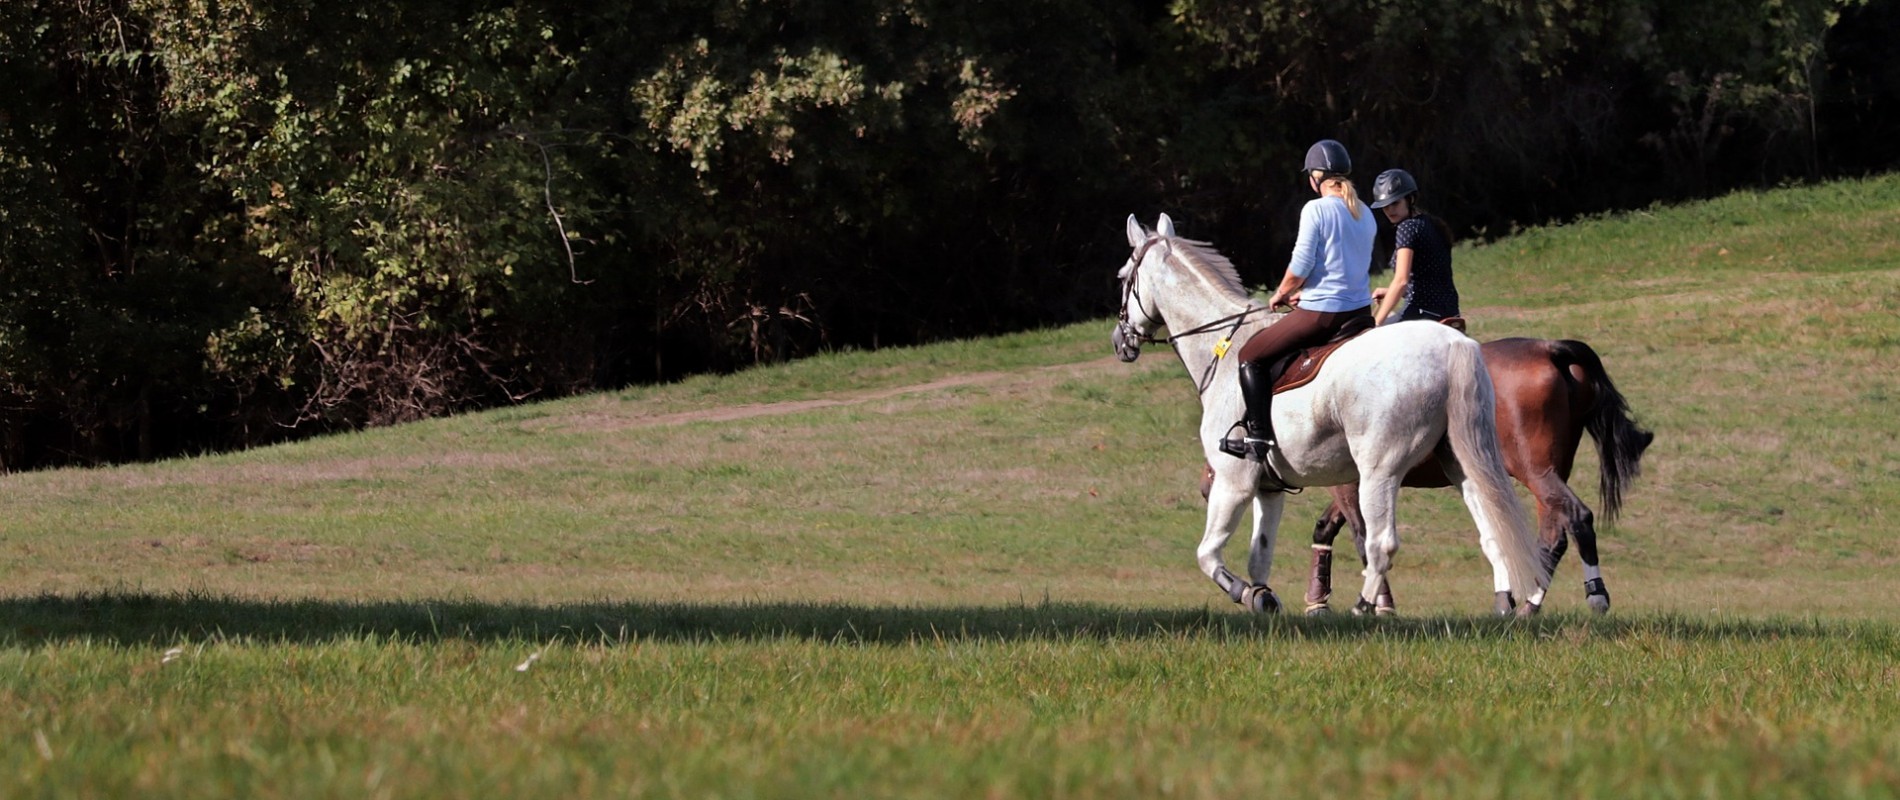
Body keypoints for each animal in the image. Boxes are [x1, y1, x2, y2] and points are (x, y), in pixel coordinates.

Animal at [1109, 214, 1542, 615]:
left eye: (1123, 277)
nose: (1119, 342)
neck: (1223, 349)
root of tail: (1451, 343)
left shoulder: (1234, 482)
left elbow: (1208, 555)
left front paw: (1245, 594)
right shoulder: (1268, 488)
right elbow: (1259, 556)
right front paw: (1263, 598)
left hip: (1378, 473)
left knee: (1381, 543)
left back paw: (1364, 607)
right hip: (1461, 464)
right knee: (1493, 529)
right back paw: (1505, 604)